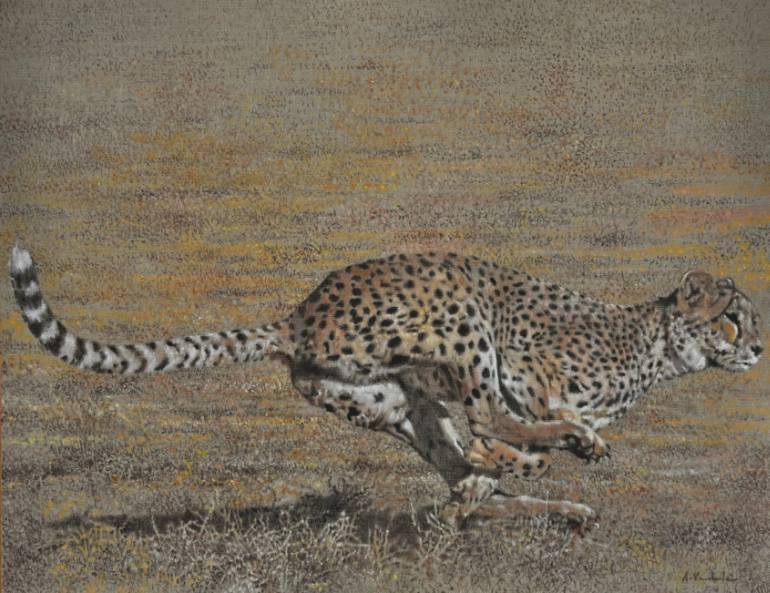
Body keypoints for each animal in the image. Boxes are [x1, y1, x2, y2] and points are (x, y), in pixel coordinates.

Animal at [9, 246, 763, 527]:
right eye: (732, 317)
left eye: (752, 320)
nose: (758, 347)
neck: (660, 346)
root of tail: (299, 315)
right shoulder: (521, 360)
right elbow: (521, 413)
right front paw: (567, 439)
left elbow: (485, 464)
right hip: (460, 311)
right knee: (484, 427)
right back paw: (547, 465)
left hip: (394, 402)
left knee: (464, 462)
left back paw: (545, 498)